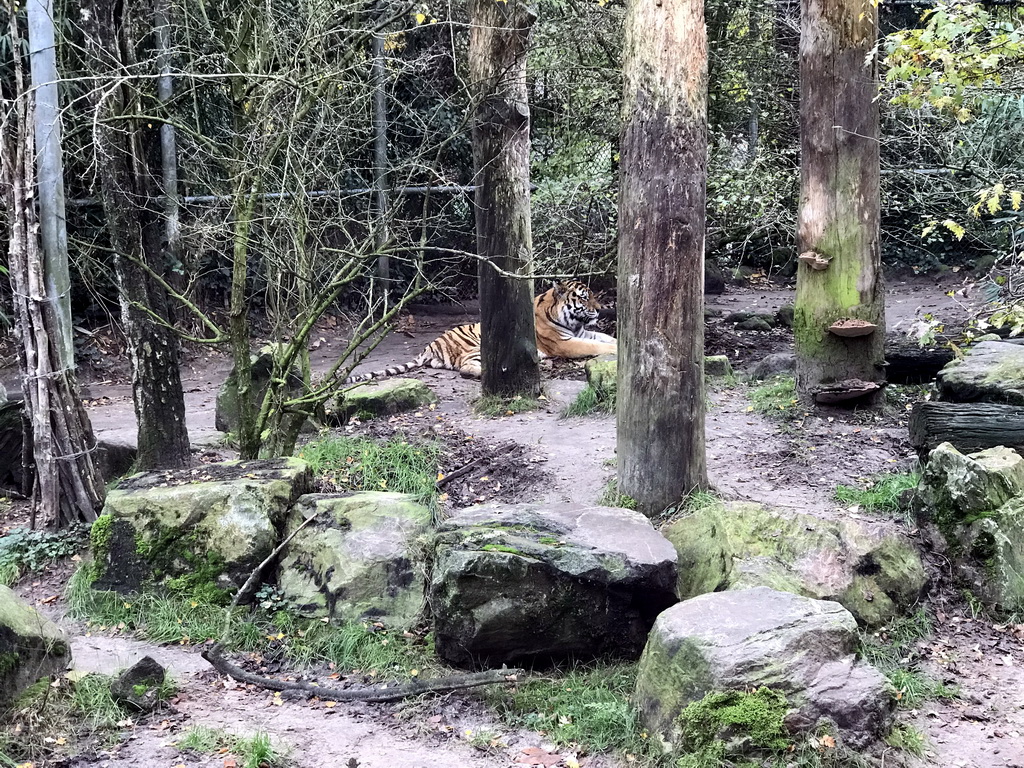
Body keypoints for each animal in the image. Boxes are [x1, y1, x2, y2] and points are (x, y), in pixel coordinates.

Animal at [344, 280, 614, 382]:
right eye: (584, 297)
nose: (600, 310)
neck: (573, 322)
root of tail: (429, 346)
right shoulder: (565, 342)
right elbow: (597, 345)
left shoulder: (581, 333)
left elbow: (605, 337)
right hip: (477, 345)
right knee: (466, 368)